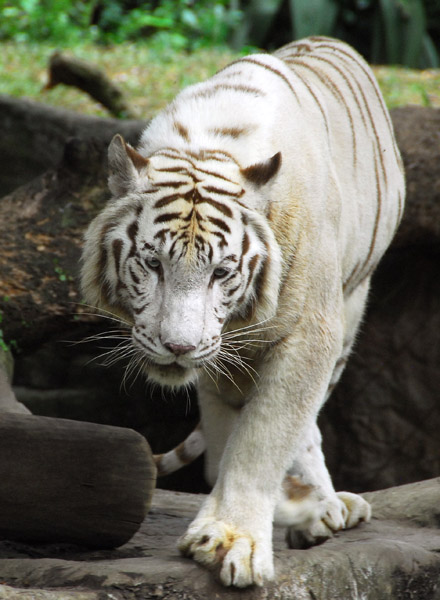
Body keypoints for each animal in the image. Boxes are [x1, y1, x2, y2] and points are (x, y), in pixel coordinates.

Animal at [80, 38, 406, 592]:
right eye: (152, 263)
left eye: (221, 271)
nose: (179, 348)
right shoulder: (220, 360)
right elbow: (225, 446)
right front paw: (270, 514)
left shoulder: (310, 334)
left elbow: (264, 435)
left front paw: (237, 541)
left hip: (350, 304)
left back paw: (326, 503)